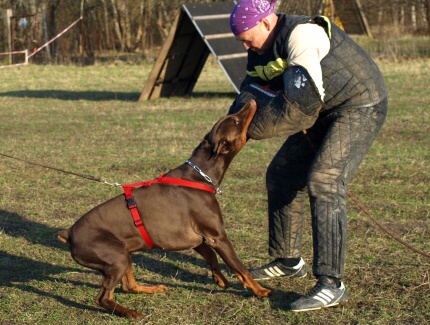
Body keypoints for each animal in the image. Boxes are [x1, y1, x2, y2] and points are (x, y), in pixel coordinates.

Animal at [58, 100, 272, 318]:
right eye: (236, 120)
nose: (251, 101)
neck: (199, 176)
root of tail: (69, 233)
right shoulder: (217, 236)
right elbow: (240, 267)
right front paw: (260, 291)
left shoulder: (198, 239)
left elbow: (211, 256)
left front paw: (219, 277)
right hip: (116, 257)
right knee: (103, 298)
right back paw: (128, 312)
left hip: (124, 253)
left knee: (128, 286)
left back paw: (153, 289)